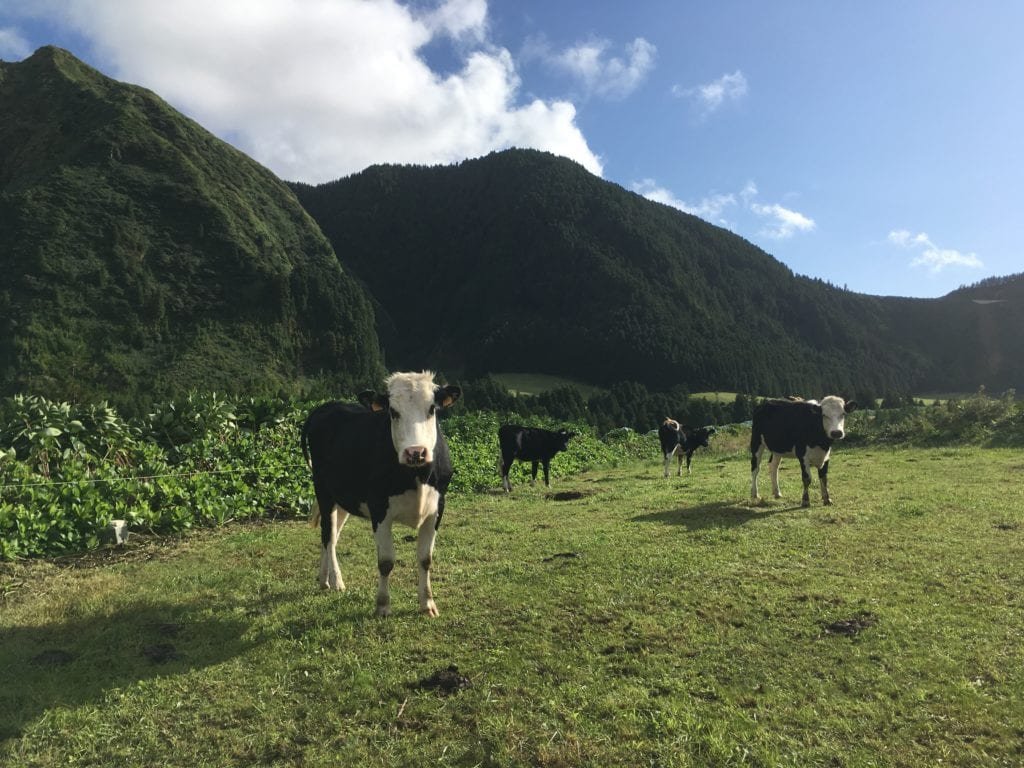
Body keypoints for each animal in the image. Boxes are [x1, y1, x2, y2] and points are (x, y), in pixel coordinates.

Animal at [301, 371, 461, 617]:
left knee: (332, 535)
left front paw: (427, 604)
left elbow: (425, 559)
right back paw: (335, 581)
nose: (416, 452)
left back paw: (323, 577)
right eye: (393, 412)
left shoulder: (437, 508)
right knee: (328, 533)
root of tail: (326, 406)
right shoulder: (379, 509)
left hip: (343, 497)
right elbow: (386, 562)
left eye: (432, 409)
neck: (416, 476)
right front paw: (383, 606)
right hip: (323, 490)